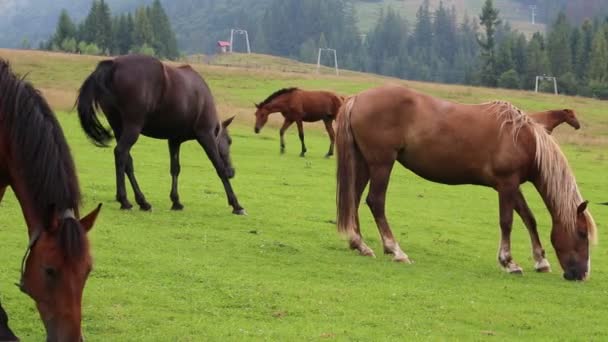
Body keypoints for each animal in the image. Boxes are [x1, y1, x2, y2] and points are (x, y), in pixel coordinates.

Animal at [77, 54, 246, 214]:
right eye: (229, 141)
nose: (232, 172)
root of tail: (113, 65)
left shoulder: (174, 140)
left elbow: (175, 168)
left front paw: (176, 201)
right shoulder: (206, 135)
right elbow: (218, 166)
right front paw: (236, 204)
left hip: (119, 127)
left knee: (127, 161)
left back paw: (142, 202)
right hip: (133, 126)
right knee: (120, 153)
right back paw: (124, 200)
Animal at [338, 83, 600, 280]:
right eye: (582, 233)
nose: (582, 274)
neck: (524, 139)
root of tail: (357, 98)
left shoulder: (512, 186)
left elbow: (529, 218)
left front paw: (541, 261)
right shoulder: (507, 185)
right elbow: (507, 222)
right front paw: (509, 262)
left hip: (365, 163)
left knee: (354, 198)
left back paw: (360, 244)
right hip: (382, 164)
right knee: (375, 201)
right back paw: (396, 250)